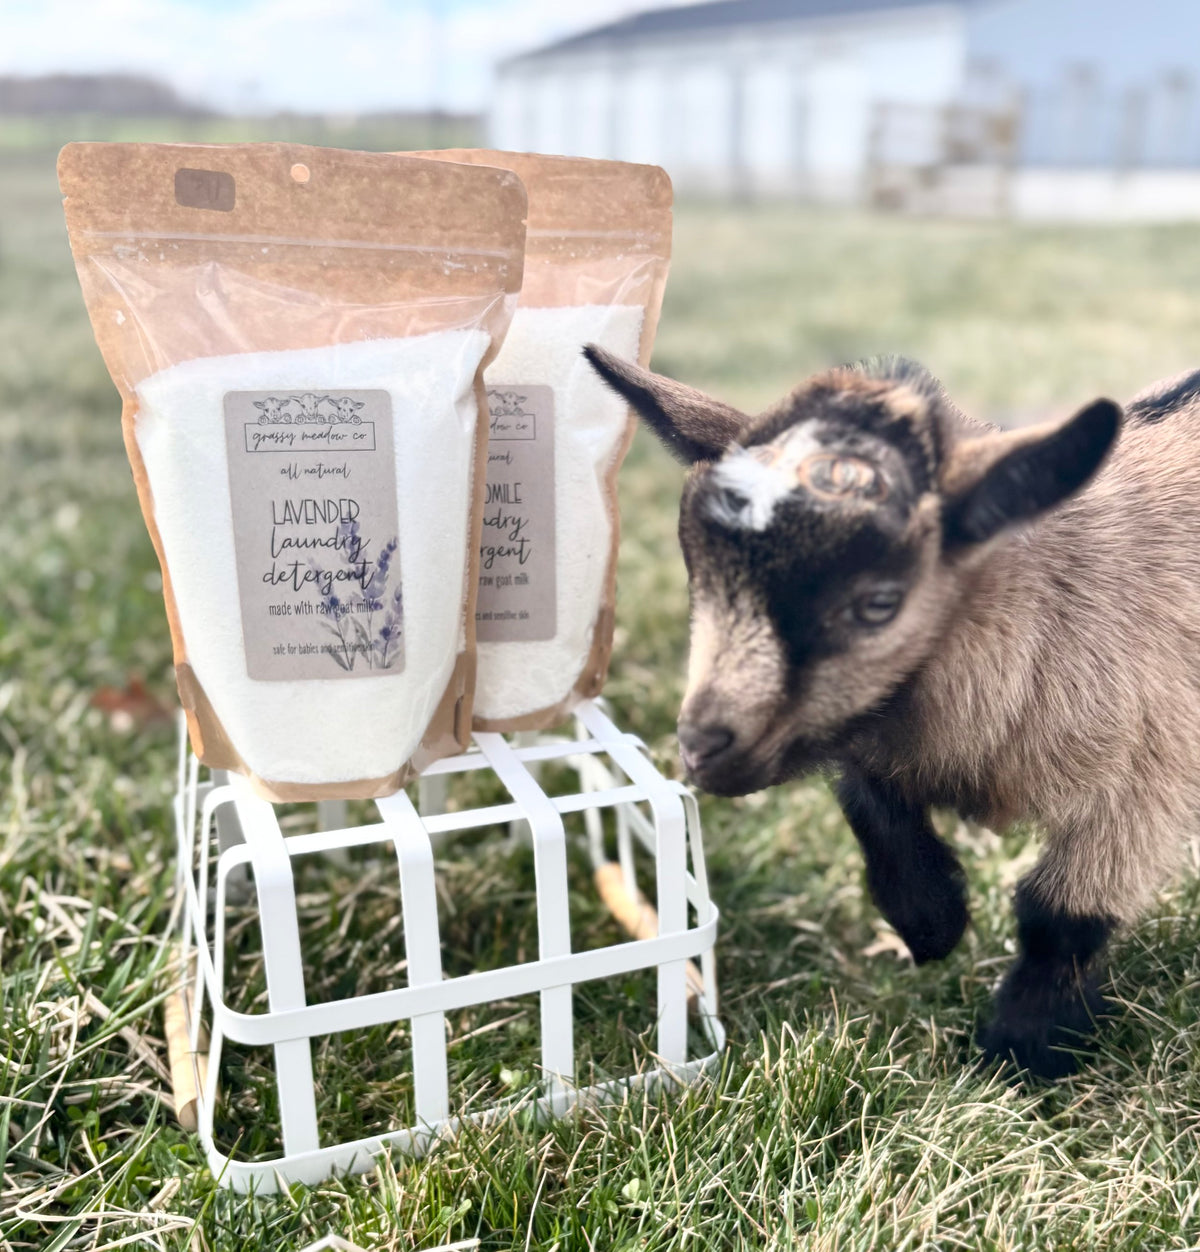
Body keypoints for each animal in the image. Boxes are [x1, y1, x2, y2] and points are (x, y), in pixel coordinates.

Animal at [585, 344, 1200, 1078]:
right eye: (697, 570)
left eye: (879, 602)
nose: (700, 748)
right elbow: (867, 797)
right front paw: (931, 923)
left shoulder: (1147, 777)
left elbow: (1057, 918)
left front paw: (1020, 1052)